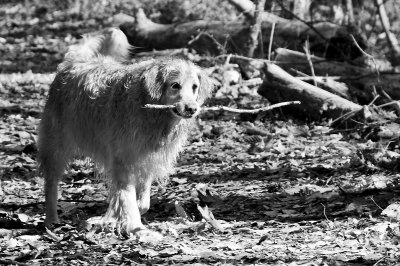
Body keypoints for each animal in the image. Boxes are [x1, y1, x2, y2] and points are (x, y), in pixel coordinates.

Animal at [37, 28, 212, 237]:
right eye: (175, 85)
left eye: (194, 87)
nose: (192, 108)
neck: (150, 111)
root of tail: (73, 63)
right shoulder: (124, 159)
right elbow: (128, 197)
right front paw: (136, 227)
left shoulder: (145, 159)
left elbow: (139, 201)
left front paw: (119, 217)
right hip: (56, 145)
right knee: (51, 183)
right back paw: (51, 219)